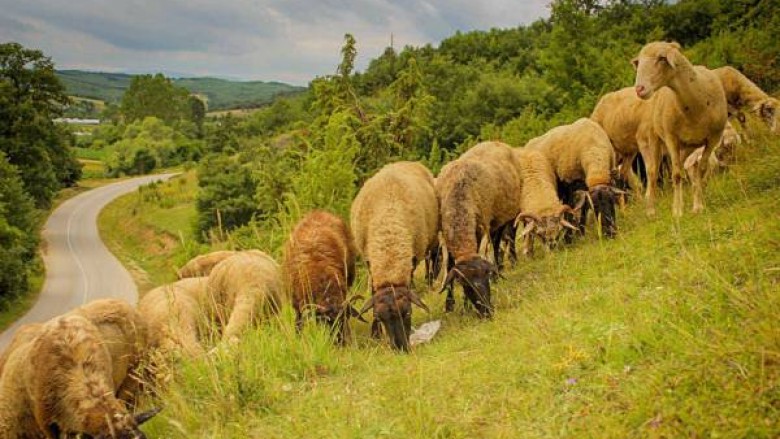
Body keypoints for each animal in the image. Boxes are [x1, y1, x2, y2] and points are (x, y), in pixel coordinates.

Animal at [282, 211, 362, 348]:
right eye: (325, 322)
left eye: (344, 319)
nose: (339, 343)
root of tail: (318, 212)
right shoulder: (298, 302)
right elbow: (299, 321)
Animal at [636, 41, 728, 217]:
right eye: (638, 63)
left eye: (661, 58)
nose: (639, 89)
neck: (695, 106)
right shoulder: (671, 138)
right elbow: (676, 174)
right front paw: (677, 210)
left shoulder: (713, 138)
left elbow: (700, 170)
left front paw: (698, 206)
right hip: (655, 137)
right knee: (652, 172)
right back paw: (651, 210)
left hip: (688, 146)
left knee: (684, 165)